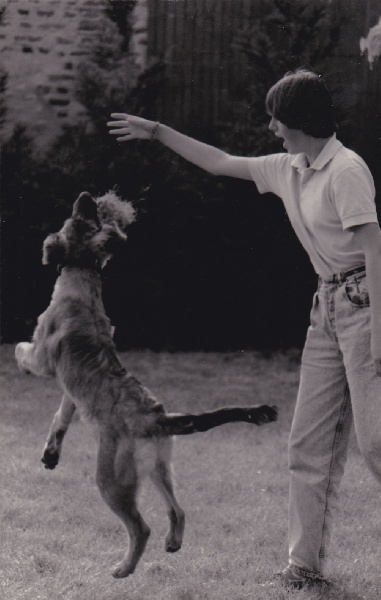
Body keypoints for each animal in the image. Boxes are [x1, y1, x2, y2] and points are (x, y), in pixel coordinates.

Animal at [14, 192, 276, 576]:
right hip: (158, 468)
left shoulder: (45, 360)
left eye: (76, 220)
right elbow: (60, 415)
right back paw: (173, 542)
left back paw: (124, 568)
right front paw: (51, 454)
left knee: (141, 528)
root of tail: (157, 418)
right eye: (93, 219)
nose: (87, 197)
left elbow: (22, 349)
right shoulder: (70, 388)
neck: (82, 276)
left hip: (113, 479)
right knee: (178, 510)